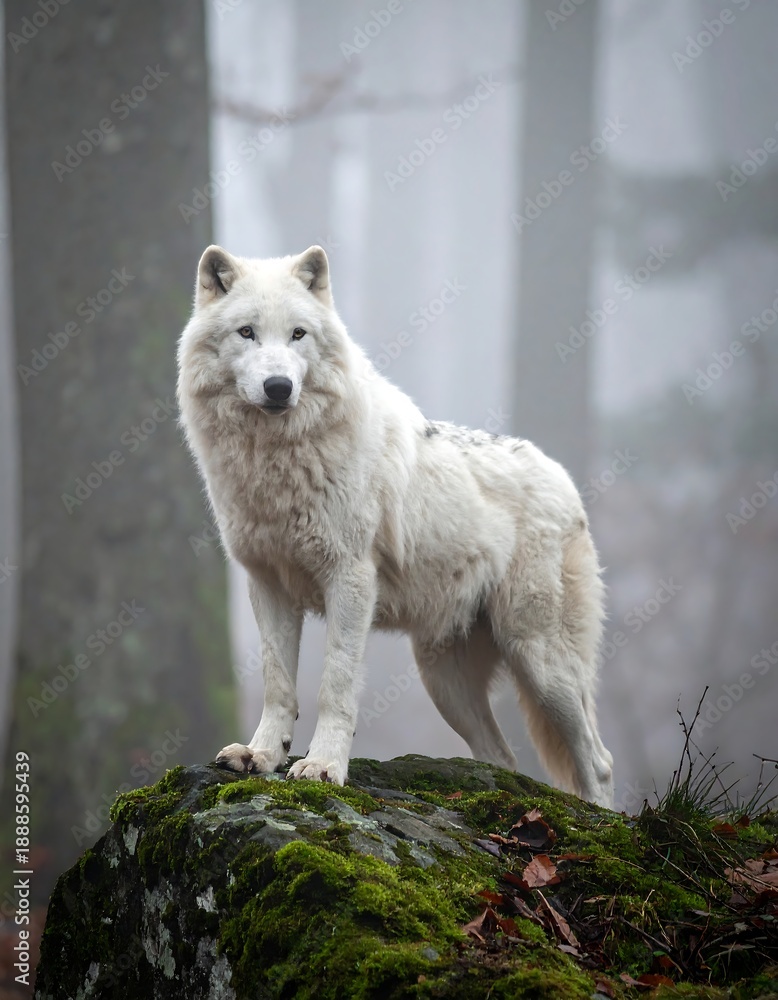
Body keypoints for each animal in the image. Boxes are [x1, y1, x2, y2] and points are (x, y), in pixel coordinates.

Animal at [177, 244, 614, 808]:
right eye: (247, 332)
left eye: (298, 334)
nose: (279, 387)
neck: (277, 462)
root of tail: (564, 478)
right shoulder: (268, 585)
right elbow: (278, 683)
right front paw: (263, 755)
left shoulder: (350, 580)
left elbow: (335, 684)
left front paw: (322, 767)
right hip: (446, 681)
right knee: (502, 756)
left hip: (541, 662)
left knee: (597, 762)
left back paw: (604, 817)